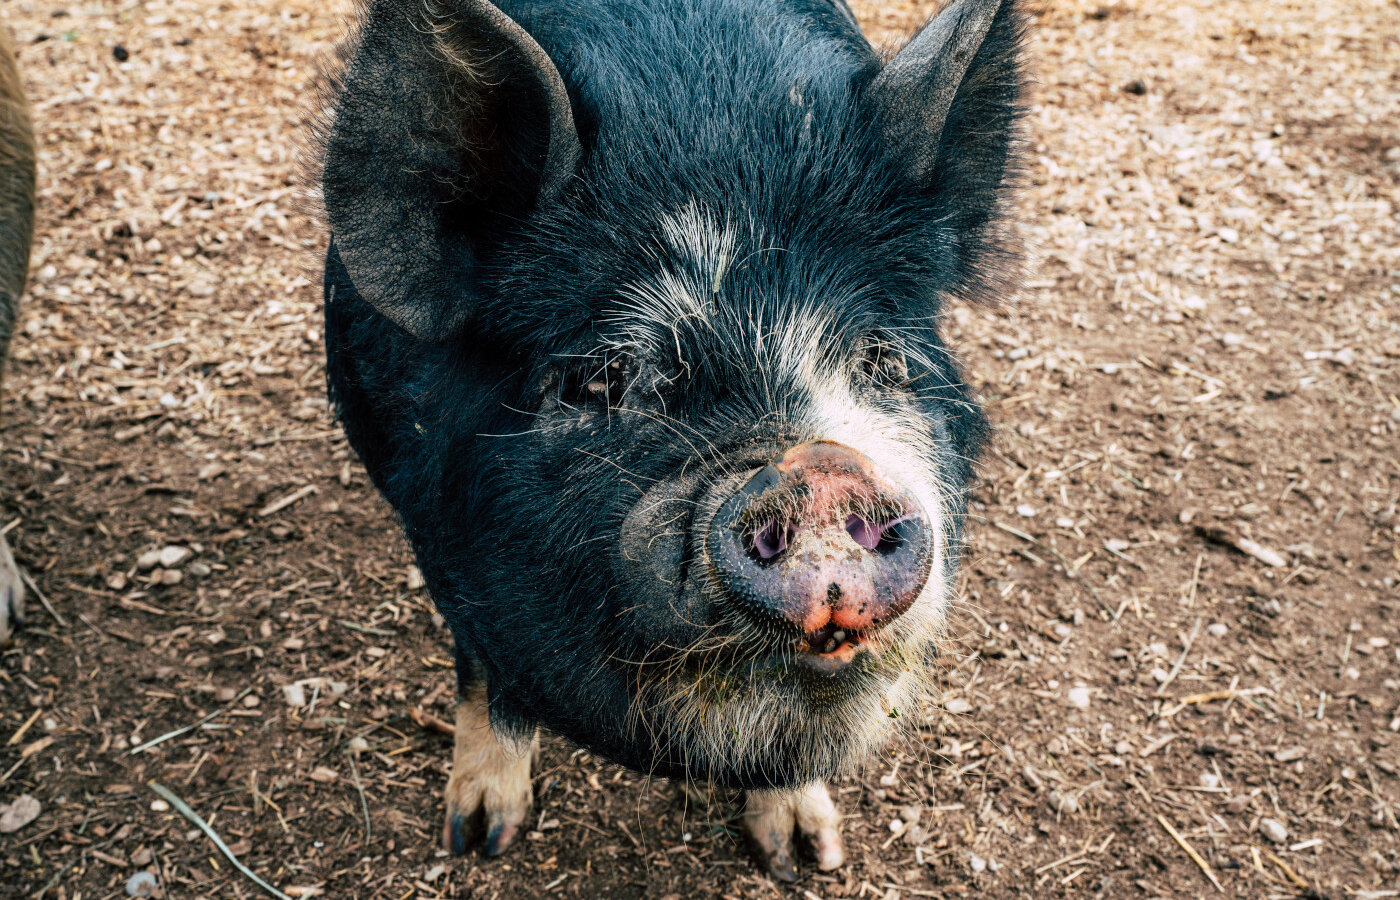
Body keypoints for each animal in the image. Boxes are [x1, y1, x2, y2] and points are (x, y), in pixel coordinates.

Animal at [316, 0, 1024, 879]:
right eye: (600, 379)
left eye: (881, 360)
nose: (819, 468)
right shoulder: (438, 533)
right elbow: (487, 672)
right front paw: (479, 838)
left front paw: (807, 858)